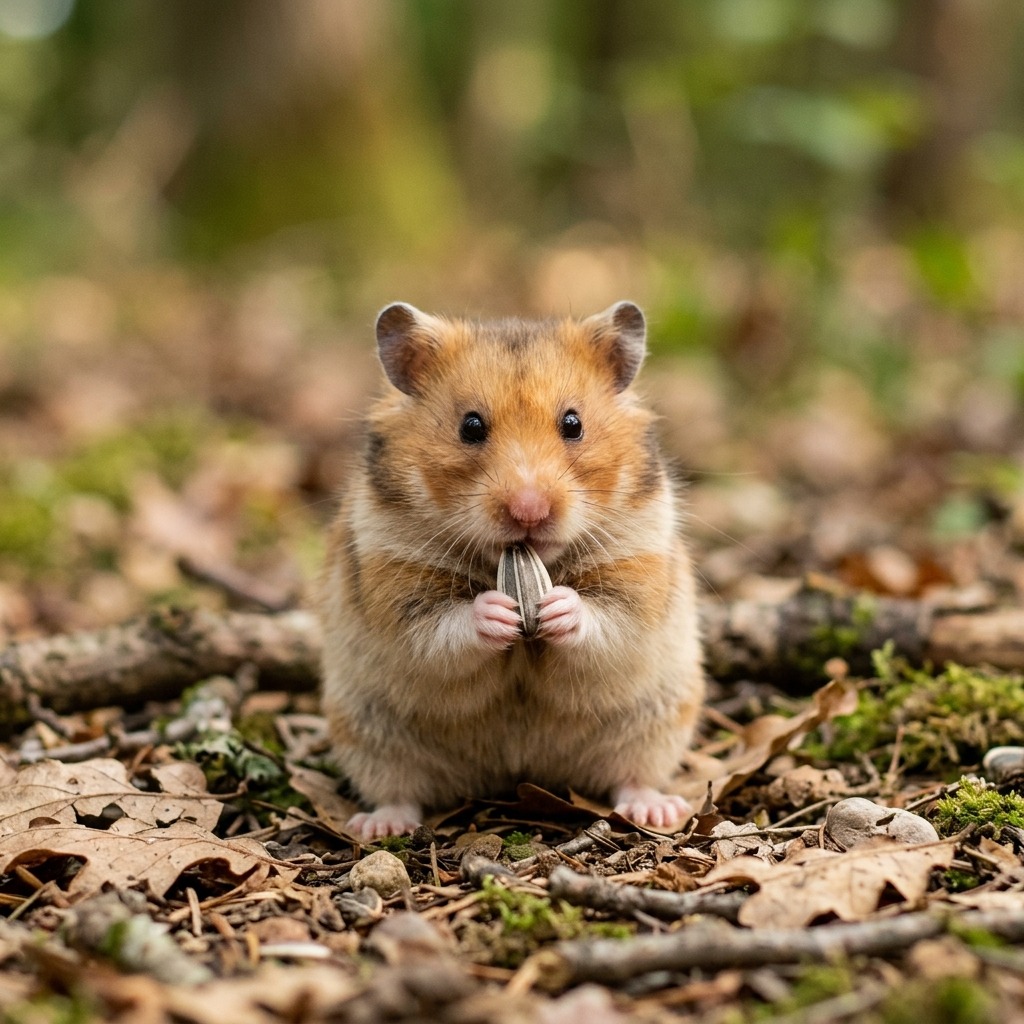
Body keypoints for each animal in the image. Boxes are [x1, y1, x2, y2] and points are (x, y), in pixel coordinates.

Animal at [319, 301, 705, 840]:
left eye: (573, 423)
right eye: (471, 426)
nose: (529, 511)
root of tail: (514, 773)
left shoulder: (637, 569)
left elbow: (607, 617)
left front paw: (556, 606)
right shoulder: (395, 581)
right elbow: (440, 627)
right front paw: (498, 612)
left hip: (658, 717)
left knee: (632, 777)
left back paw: (656, 810)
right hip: (366, 727)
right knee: (399, 790)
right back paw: (379, 826)